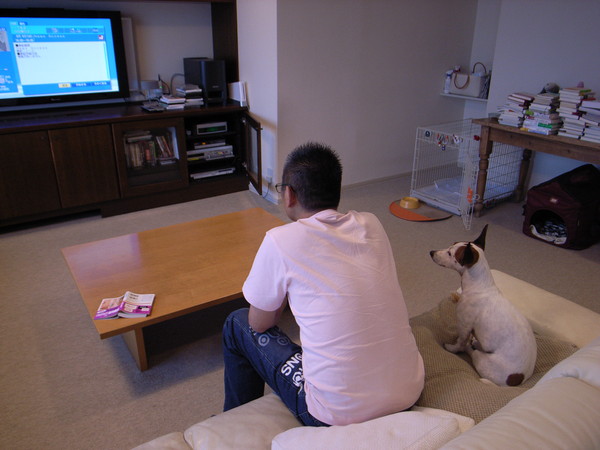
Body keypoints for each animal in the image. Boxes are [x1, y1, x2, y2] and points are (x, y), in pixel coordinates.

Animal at [429, 225, 537, 386]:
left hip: (482, 361)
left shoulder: (464, 326)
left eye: (449, 253)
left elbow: (460, 342)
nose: (431, 252)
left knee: (471, 351)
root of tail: (518, 380)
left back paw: (471, 347)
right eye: (451, 244)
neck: (479, 285)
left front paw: (452, 347)